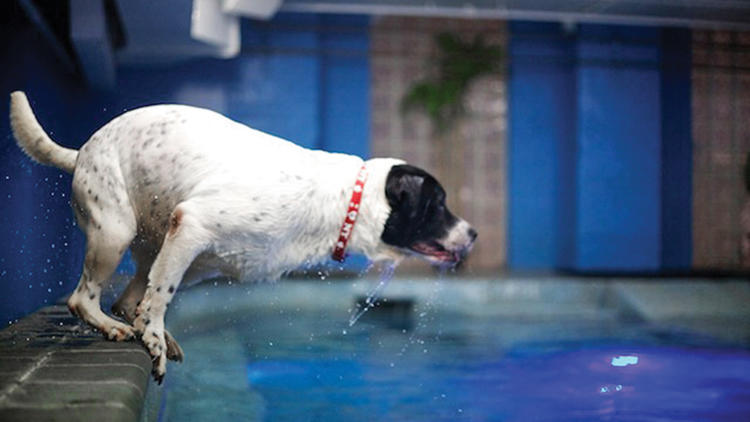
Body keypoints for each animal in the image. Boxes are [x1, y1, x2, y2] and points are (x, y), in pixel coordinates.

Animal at [8, 92, 478, 382]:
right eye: (437, 205)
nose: (473, 233)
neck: (342, 199)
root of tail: (82, 151)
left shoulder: (194, 256)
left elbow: (153, 297)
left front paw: (156, 332)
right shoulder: (193, 223)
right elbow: (158, 300)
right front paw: (154, 338)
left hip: (155, 244)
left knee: (127, 298)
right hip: (114, 233)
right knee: (84, 299)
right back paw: (113, 328)